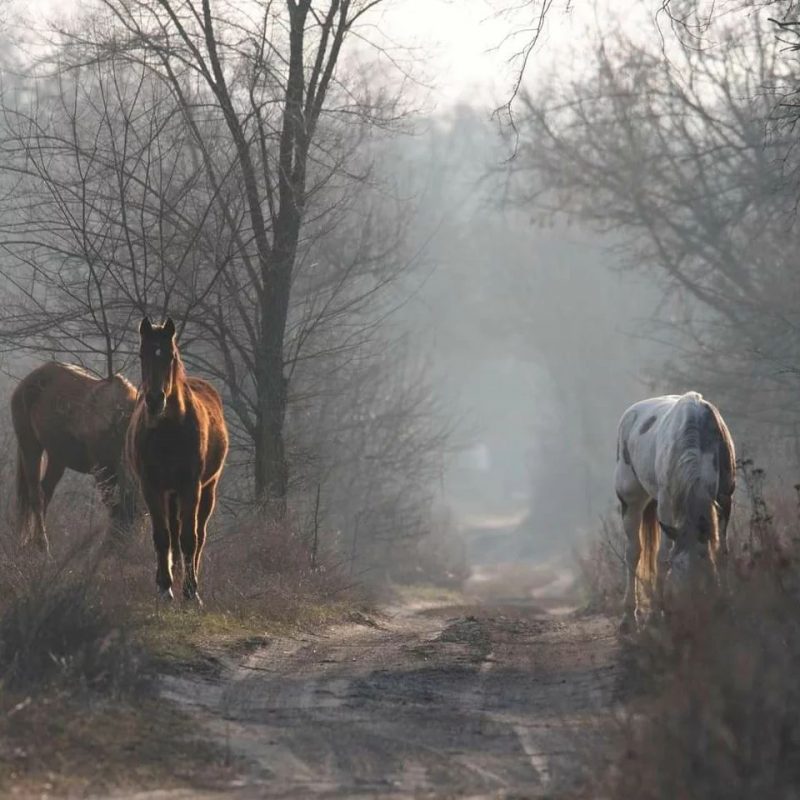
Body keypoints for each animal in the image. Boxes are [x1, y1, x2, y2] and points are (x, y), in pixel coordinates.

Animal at [10, 360, 138, 552]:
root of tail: (25, 383)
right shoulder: (103, 470)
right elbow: (115, 509)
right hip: (30, 446)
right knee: (36, 496)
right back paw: (43, 547)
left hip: (57, 457)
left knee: (45, 492)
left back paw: (38, 545)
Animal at [125, 318, 230, 600]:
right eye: (142, 354)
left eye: (170, 355)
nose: (154, 400)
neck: (168, 432)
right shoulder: (151, 487)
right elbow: (162, 537)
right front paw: (164, 586)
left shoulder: (190, 486)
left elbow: (189, 538)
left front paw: (191, 591)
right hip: (170, 494)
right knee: (172, 531)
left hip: (206, 489)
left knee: (198, 534)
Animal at [612, 392, 736, 632]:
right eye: (677, 568)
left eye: (704, 566)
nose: (692, 611)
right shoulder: (666, 505)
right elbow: (661, 557)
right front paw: (656, 615)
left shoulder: (725, 499)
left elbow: (721, 551)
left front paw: (724, 600)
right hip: (630, 500)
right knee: (634, 553)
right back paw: (628, 618)